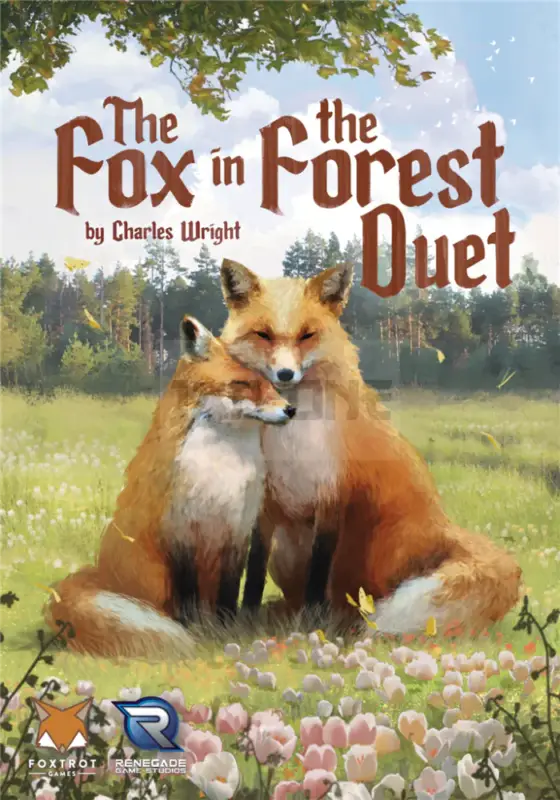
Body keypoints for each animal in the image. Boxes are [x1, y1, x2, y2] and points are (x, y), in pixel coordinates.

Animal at [45, 316, 295, 658]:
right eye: (242, 384)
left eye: (271, 383)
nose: (290, 409)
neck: (221, 469)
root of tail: (99, 574)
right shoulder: (179, 530)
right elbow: (186, 594)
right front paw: (194, 630)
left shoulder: (237, 530)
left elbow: (230, 591)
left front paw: (228, 628)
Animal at [219, 259, 522, 633]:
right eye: (263, 335)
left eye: (307, 335)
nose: (286, 375)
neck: (290, 439)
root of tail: (444, 525)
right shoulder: (265, 505)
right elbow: (254, 570)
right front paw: (244, 619)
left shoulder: (332, 497)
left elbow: (319, 572)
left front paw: (311, 624)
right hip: (287, 549)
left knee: (361, 599)